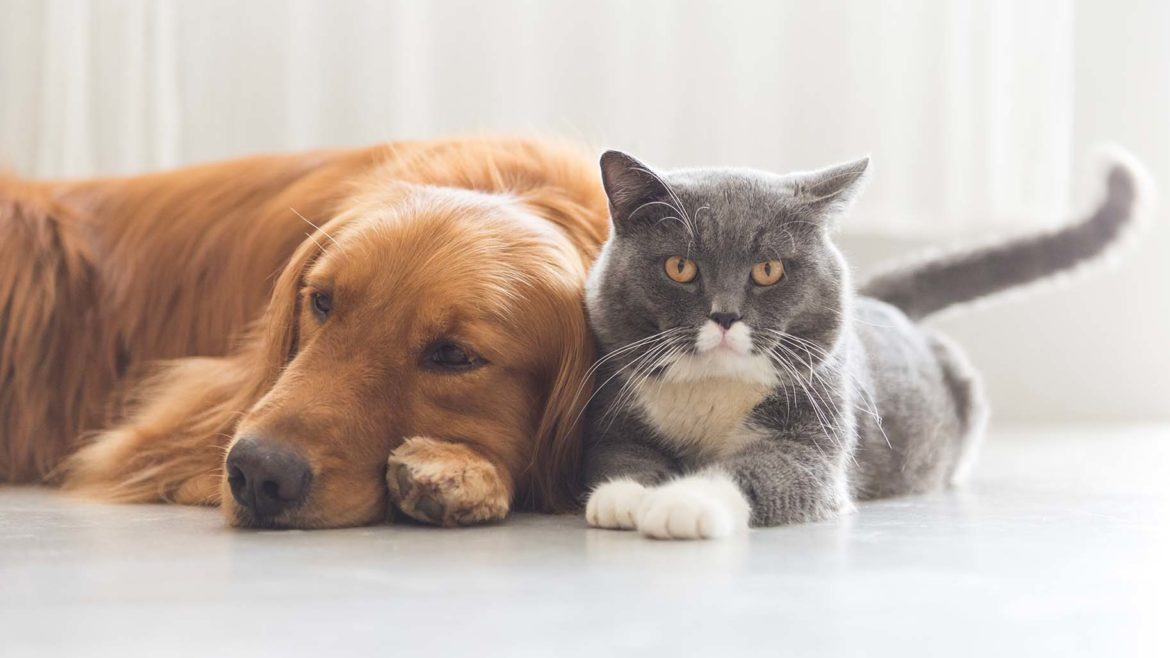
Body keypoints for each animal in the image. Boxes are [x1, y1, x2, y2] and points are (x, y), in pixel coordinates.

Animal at [580, 148, 1146, 538]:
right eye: (680, 267)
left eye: (768, 270)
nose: (724, 315)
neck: (714, 387)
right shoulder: (615, 415)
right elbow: (620, 455)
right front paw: (626, 497)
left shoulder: (814, 437)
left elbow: (756, 472)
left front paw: (681, 503)